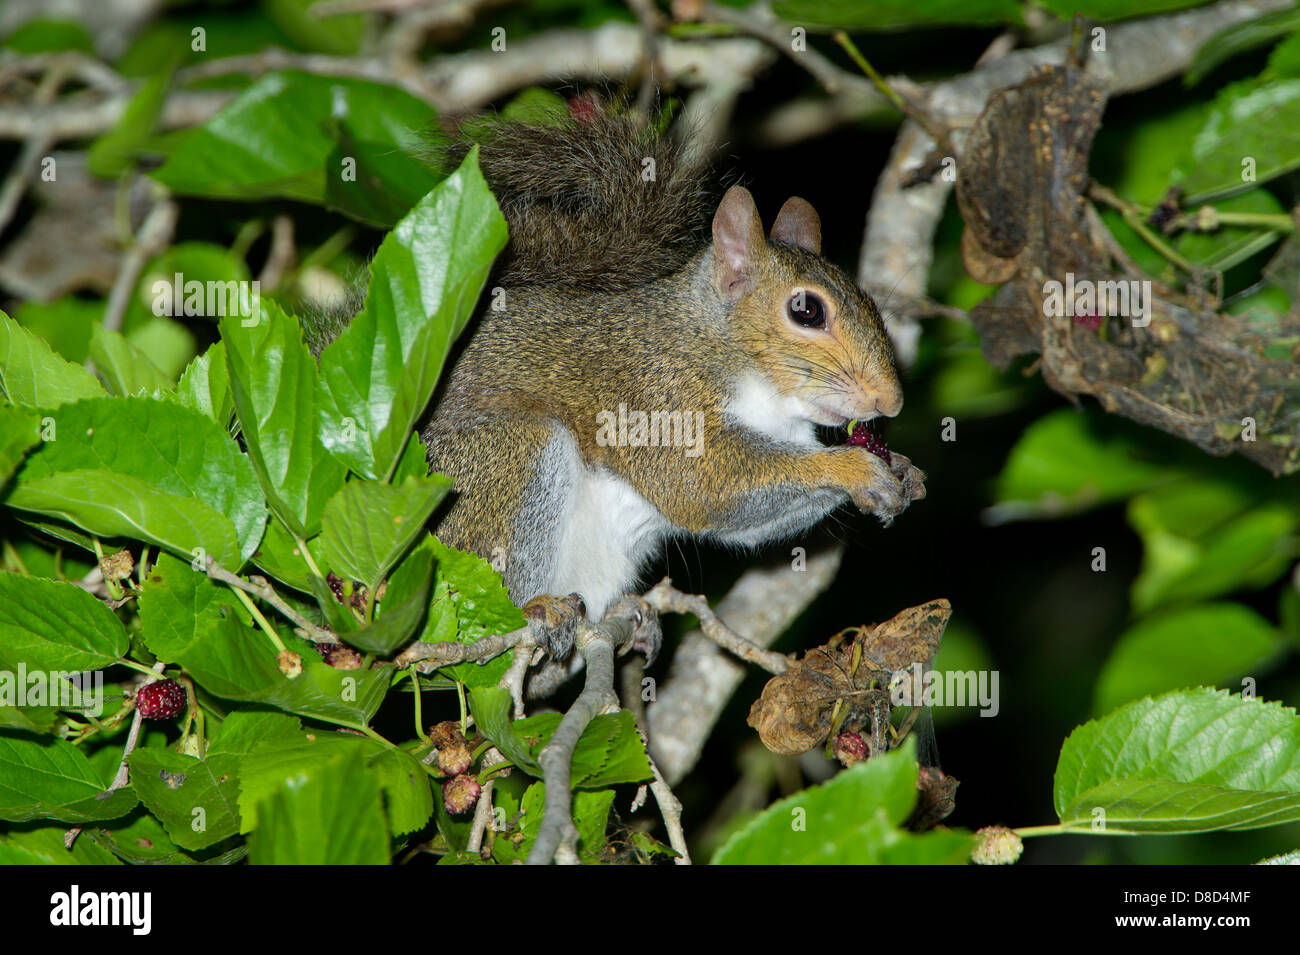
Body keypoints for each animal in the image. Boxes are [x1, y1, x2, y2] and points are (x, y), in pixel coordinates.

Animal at [301, 104, 925, 657]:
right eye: (806, 311)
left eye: (870, 300)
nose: (891, 402)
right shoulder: (654, 401)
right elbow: (703, 486)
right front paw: (850, 468)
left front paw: (901, 473)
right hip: (498, 468)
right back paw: (534, 610)